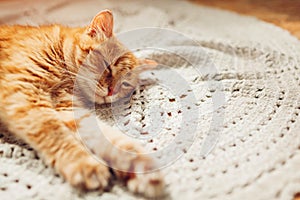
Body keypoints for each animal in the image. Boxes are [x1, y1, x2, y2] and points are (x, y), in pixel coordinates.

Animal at [0, 9, 164, 198]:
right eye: (108, 66)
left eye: (125, 84)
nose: (111, 92)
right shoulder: (24, 92)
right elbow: (54, 133)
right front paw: (83, 164)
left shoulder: (67, 108)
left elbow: (106, 136)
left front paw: (138, 165)